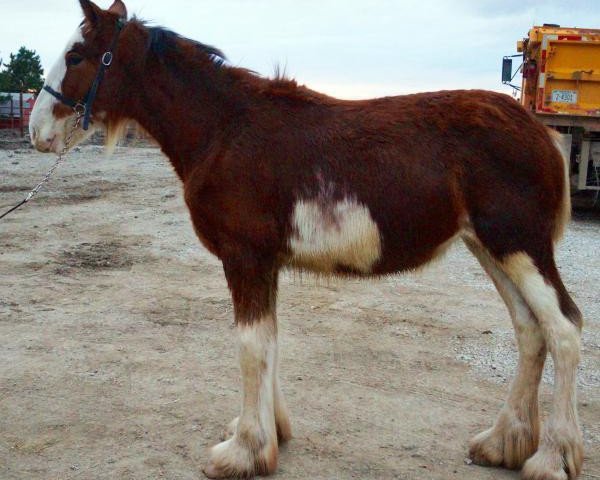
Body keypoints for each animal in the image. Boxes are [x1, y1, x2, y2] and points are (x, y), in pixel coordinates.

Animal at [30, 1, 584, 478]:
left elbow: (252, 346)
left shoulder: (245, 259)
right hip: (491, 249)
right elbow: (270, 342)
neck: (225, 130)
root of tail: (541, 132)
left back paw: (551, 458)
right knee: (529, 330)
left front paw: (244, 452)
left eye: (76, 56)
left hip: (519, 246)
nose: (36, 132)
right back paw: (503, 442)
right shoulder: (265, 263)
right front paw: (268, 433)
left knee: (563, 330)